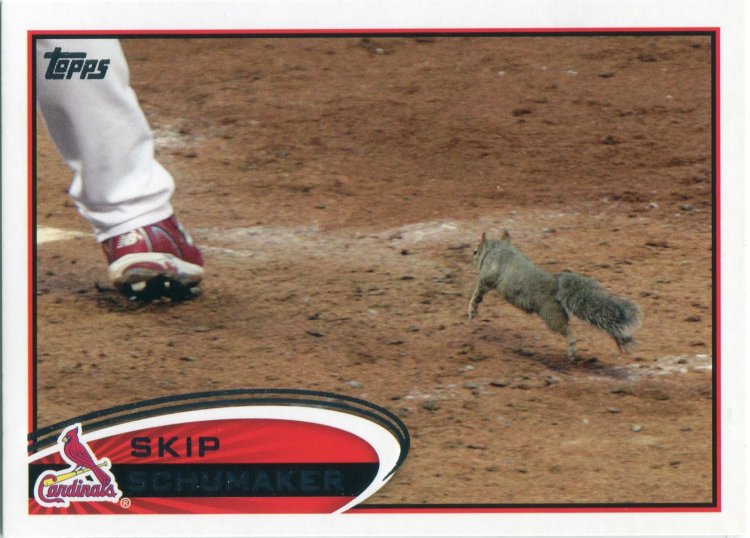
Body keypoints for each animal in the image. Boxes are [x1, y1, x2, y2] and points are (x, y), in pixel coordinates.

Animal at [468, 230, 642, 359]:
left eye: (476, 251)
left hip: (551, 314)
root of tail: (556, 283)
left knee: (566, 329)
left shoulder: (489, 275)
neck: (497, 249)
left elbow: (478, 290)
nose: (472, 256)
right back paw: (622, 340)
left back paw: (572, 347)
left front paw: (472, 308)